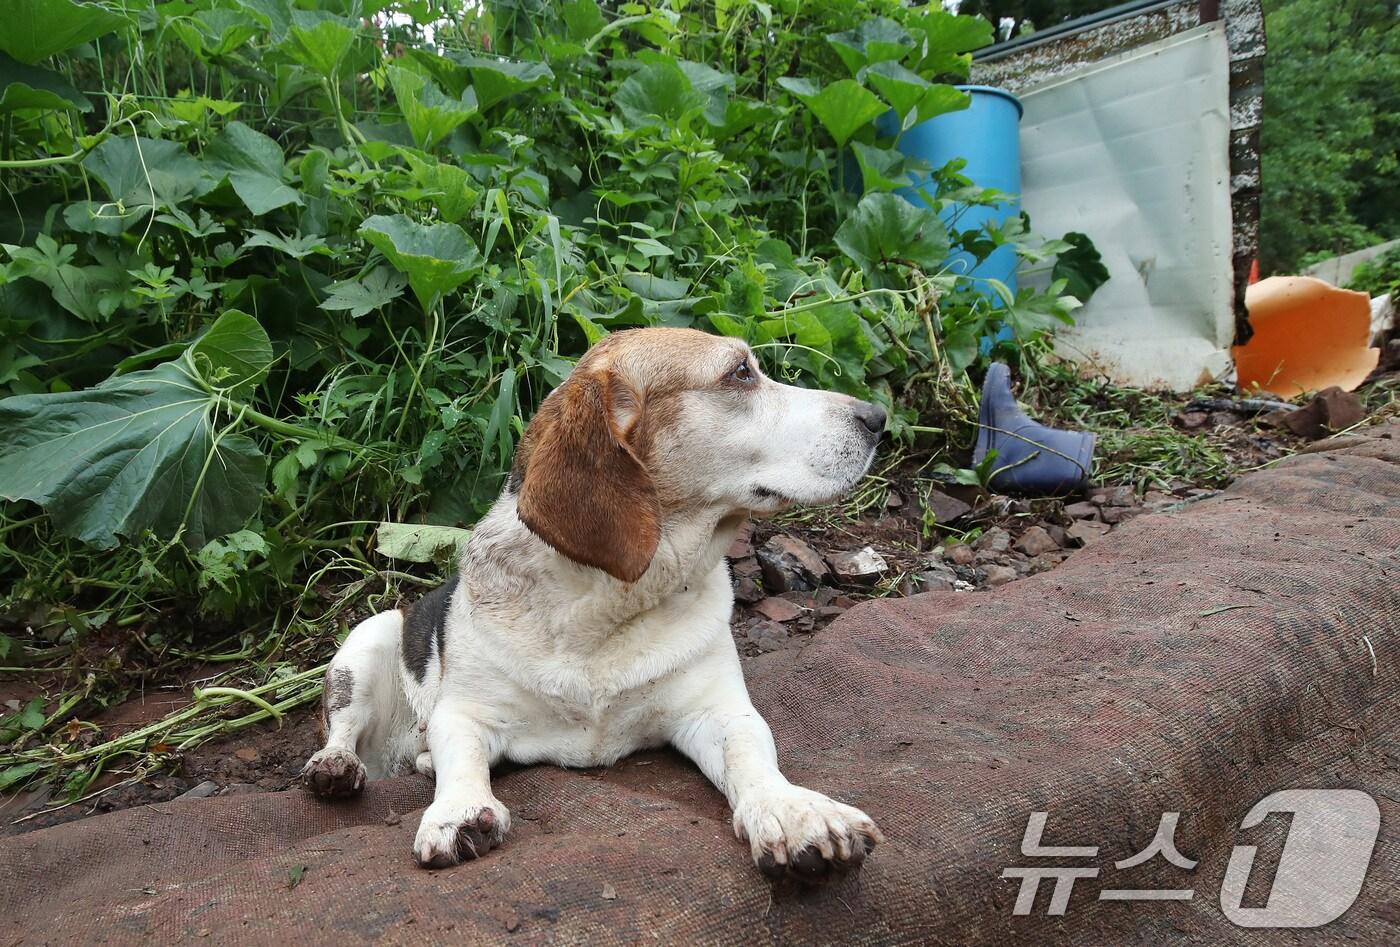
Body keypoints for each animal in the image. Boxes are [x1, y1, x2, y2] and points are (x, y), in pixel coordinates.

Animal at [303, 325, 884, 879]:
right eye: (740, 372)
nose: (878, 416)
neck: (607, 604)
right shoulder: (464, 713)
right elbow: (461, 759)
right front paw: (459, 812)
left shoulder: (719, 710)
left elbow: (751, 754)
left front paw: (790, 811)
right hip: (368, 640)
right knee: (342, 731)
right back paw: (336, 768)